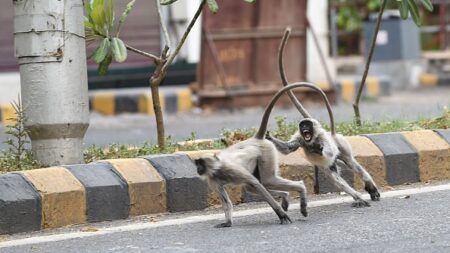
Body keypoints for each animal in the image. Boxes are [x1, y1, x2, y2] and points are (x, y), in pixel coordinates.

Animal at [195, 82, 328, 227]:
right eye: (197, 163)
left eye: (201, 164)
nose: (198, 169)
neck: (218, 167)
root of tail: (255, 138)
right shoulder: (213, 178)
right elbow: (227, 202)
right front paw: (227, 223)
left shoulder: (231, 170)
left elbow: (257, 184)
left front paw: (281, 215)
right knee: (253, 186)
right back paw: (285, 195)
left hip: (266, 153)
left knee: (265, 181)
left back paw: (300, 190)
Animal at [266, 27, 382, 208]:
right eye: (303, 126)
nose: (305, 127)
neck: (312, 139)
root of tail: (332, 133)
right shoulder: (300, 138)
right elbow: (288, 148)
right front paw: (269, 137)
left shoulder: (321, 138)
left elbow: (328, 150)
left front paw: (319, 149)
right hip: (331, 163)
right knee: (335, 176)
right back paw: (358, 196)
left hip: (340, 144)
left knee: (352, 164)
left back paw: (370, 187)